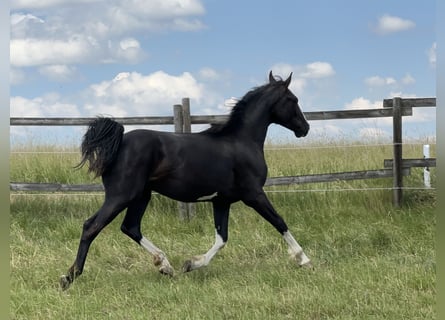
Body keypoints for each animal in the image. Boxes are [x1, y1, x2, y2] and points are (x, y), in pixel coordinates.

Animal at [60, 70, 310, 290]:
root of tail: (119, 142)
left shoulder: (221, 201)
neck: (242, 141)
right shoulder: (254, 194)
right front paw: (303, 259)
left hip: (141, 195)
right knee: (91, 226)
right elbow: (279, 222)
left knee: (130, 227)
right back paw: (69, 277)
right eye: (293, 99)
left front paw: (191, 264)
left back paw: (165, 265)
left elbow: (222, 238)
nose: (305, 128)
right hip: (121, 195)